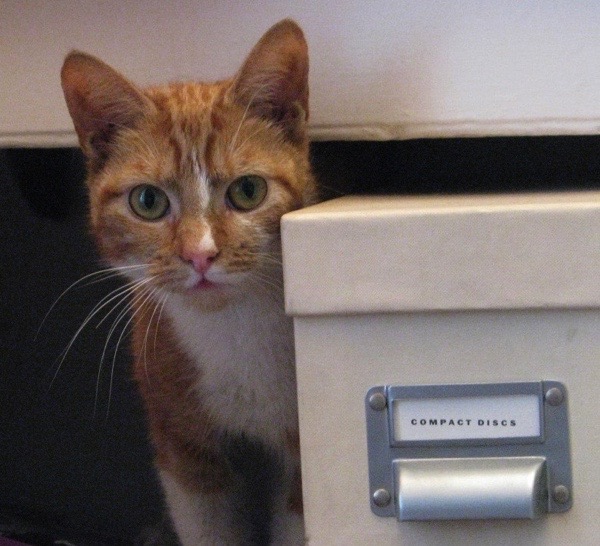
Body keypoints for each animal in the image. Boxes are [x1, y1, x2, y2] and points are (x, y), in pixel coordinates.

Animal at [61, 19, 317, 545]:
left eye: (248, 191)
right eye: (148, 202)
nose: (200, 254)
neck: (233, 334)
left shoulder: (299, 457)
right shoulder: (185, 453)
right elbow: (209, 525)